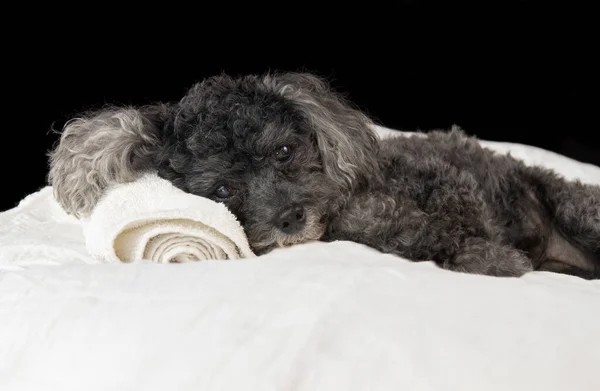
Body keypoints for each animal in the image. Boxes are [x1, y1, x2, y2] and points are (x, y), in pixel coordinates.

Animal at [48, 70, 600, 278]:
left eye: (284, 150)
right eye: (224, 189)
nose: (291, 217)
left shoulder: (444, 180)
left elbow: (438, 221)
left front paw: (490, 255)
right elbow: (422, 234)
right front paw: (492, 260)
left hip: (578, 208)